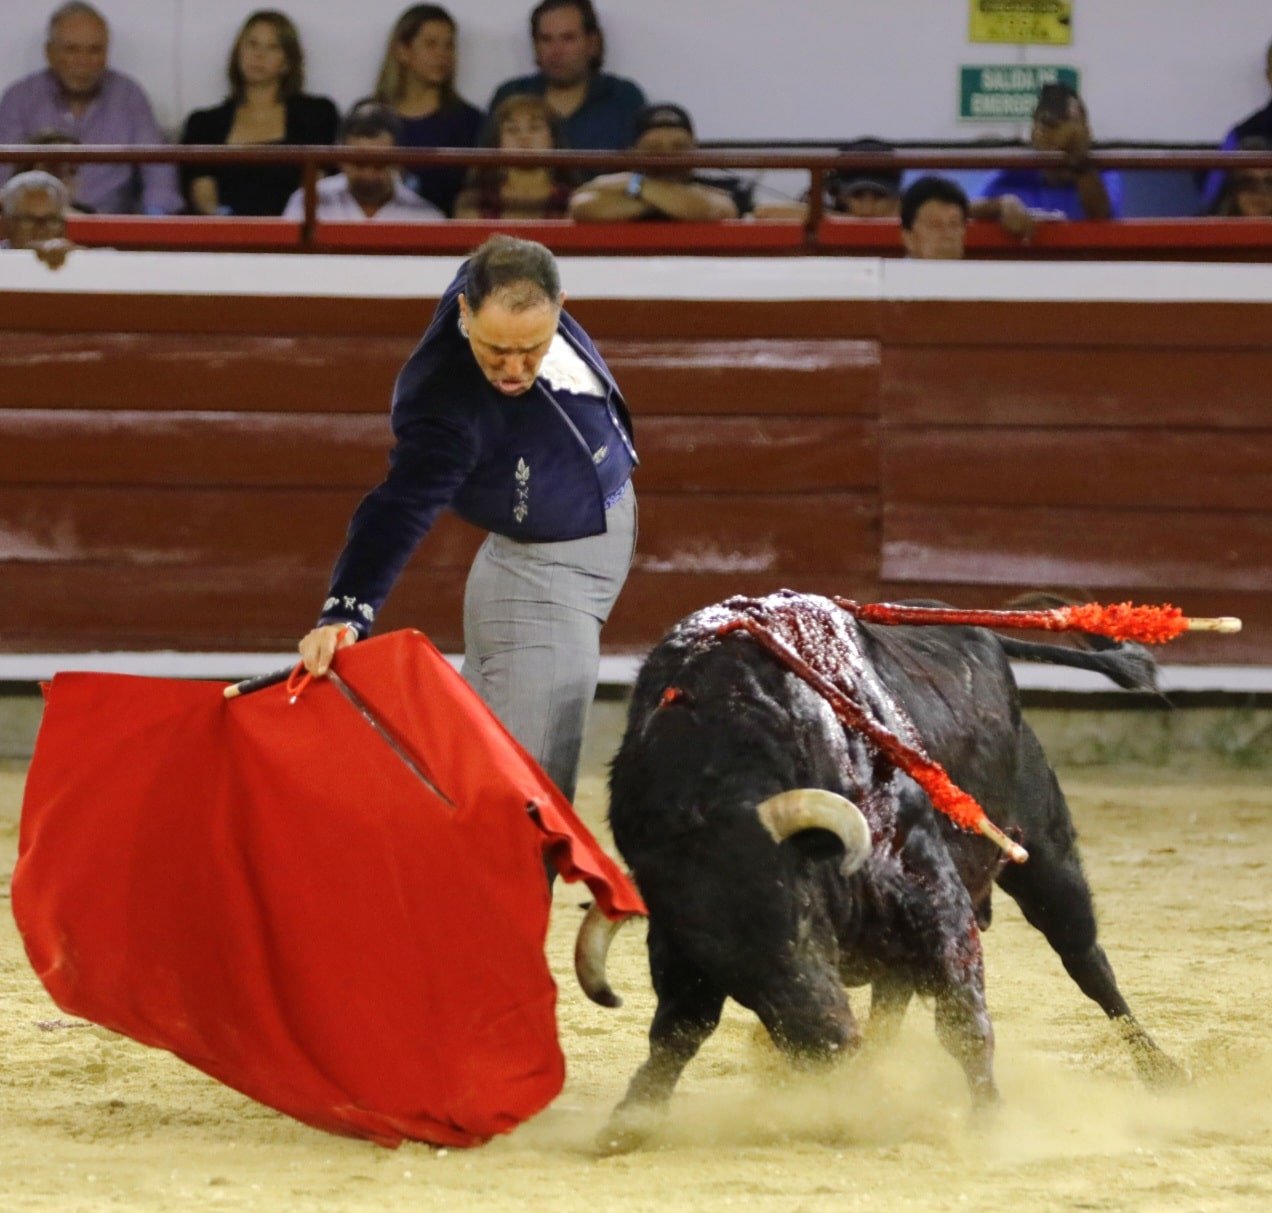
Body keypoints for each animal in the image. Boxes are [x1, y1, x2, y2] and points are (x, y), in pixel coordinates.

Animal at [573, 591, 1183, 1152]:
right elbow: (678, 1029)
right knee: (893, 996)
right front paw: (630, 1119)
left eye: (803, 915)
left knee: (1087, 961)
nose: (828, 1042)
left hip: (1046, 857)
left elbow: (963, 1022)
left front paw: (989, 1119)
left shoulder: (933, 893)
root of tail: (982, 633)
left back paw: (1162, 1071)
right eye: (728, 970)